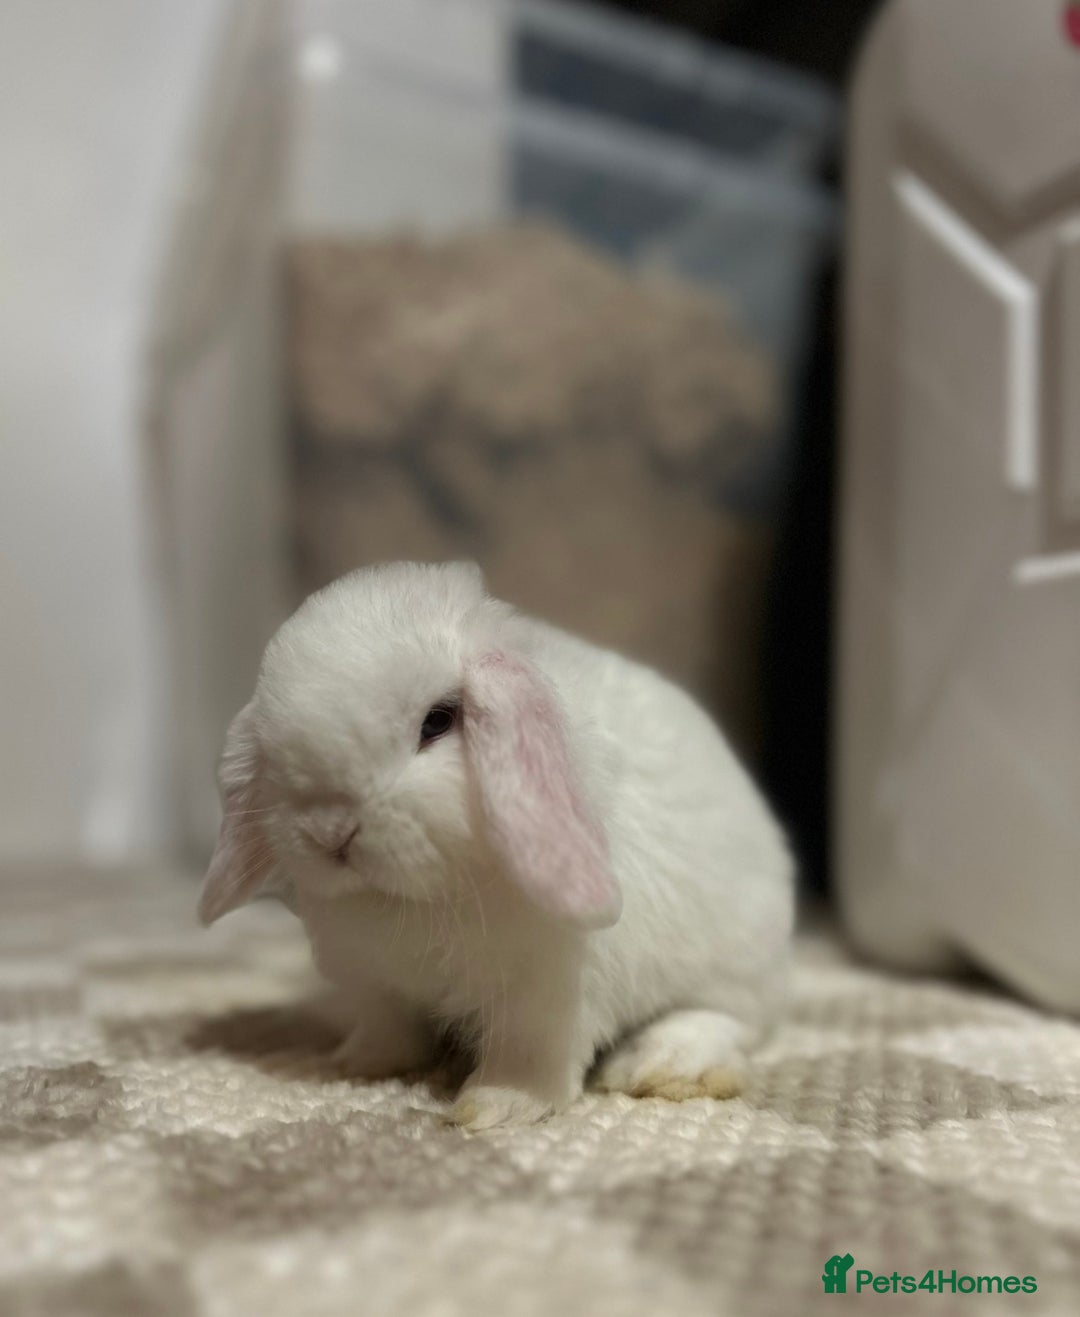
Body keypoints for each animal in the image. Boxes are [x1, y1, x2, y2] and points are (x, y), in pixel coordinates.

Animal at [198, 561, 794, 1129]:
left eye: (438, 721)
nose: (329, 831)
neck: (419, 898)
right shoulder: (379, 984)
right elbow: (388, 1028)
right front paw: (357, 1063)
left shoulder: (545, 996)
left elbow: (529, 1055)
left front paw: (495, 1107)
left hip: (730, 963)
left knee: (723, 1019)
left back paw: (659, 1068)